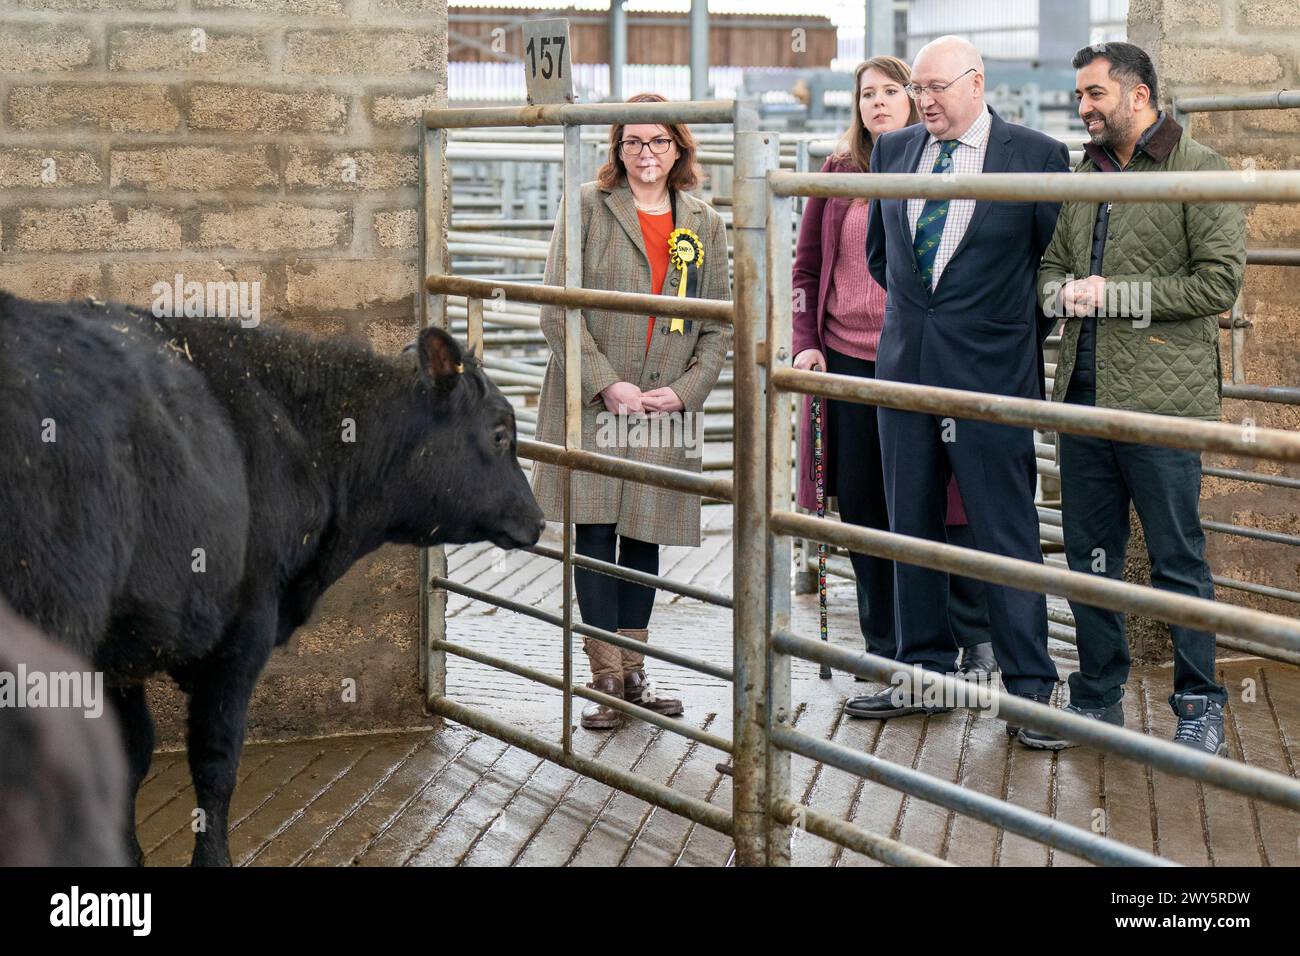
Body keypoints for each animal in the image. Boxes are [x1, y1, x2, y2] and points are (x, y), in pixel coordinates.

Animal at [0, 287, 543, 863]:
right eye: (501, 433)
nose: (537, 520)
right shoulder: (245, 629)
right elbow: (213, 762)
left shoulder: (123, 649)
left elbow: (133, 753)